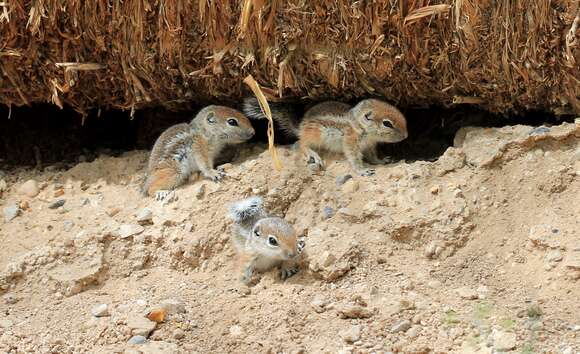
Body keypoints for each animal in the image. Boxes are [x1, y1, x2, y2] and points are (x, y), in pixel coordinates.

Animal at [244, 97, 408, 176]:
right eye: (387, 123)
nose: (406, 136)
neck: (358, 124)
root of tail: (301, 125)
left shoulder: (370, 146)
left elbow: (373, 157)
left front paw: (382, 161)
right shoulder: (350, 142)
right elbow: (354, 158)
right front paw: (362, 170)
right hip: (316, 134)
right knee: (301, 144)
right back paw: (313, 154)